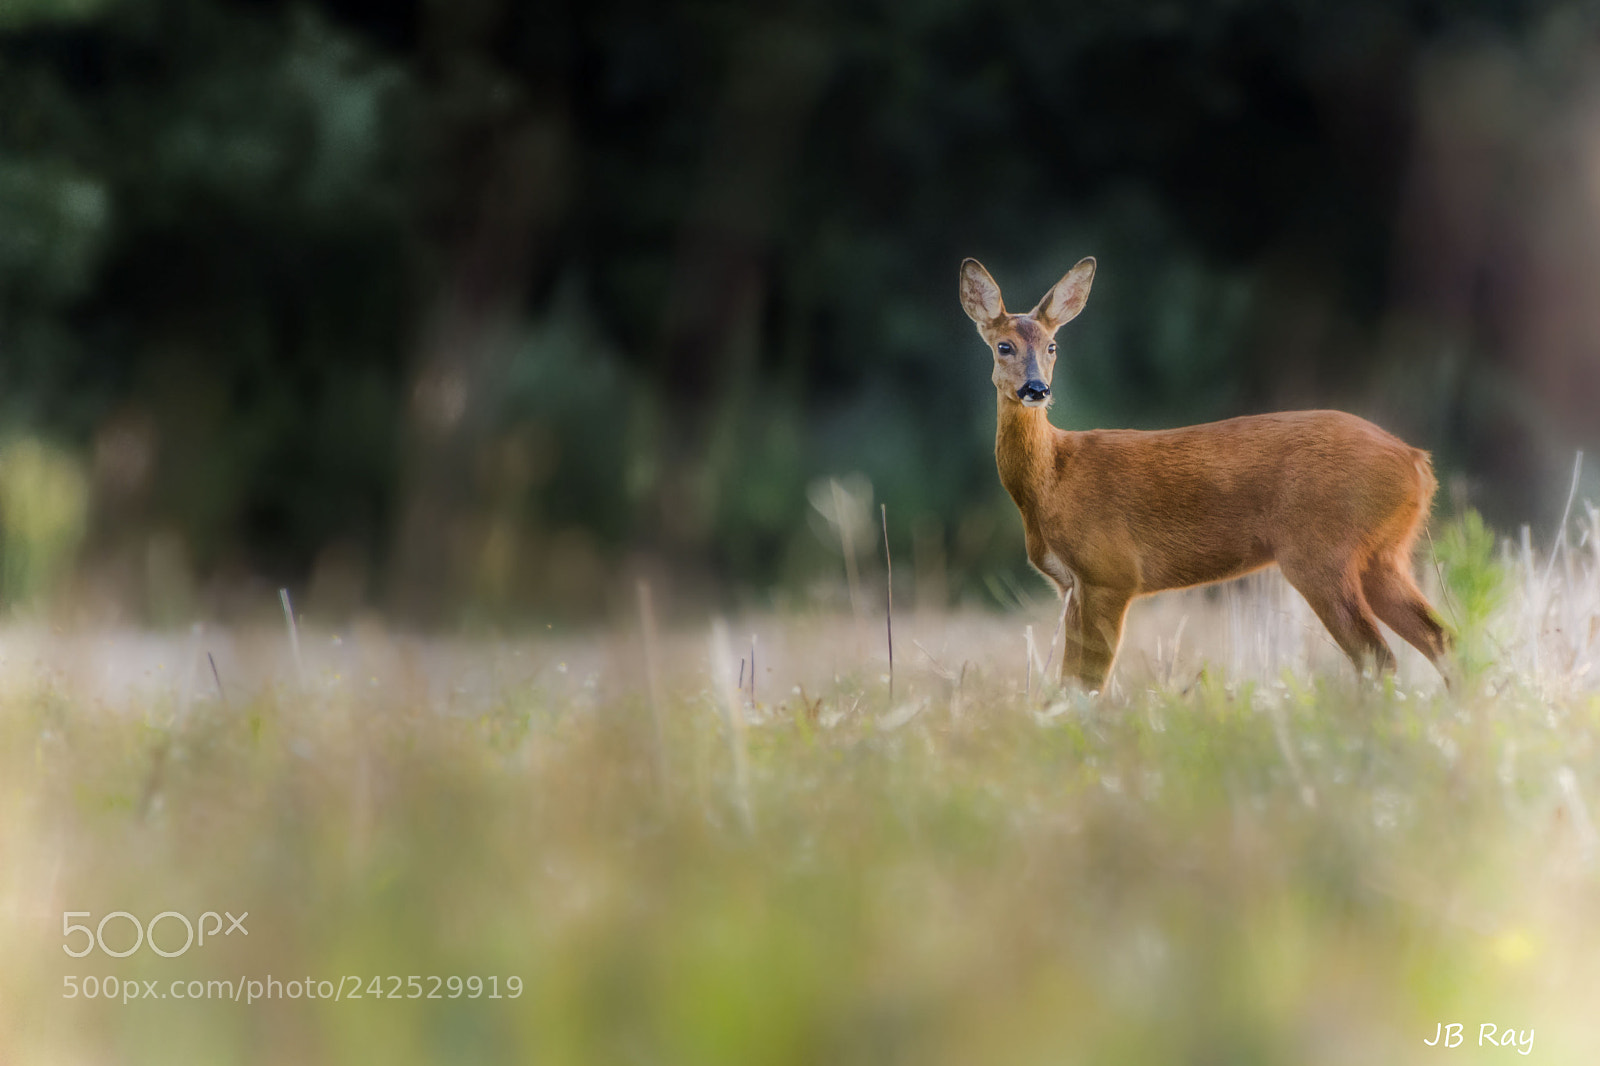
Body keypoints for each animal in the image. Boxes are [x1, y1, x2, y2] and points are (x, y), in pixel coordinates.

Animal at [959, 256, 1452, 690]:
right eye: (1004, 346)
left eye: (1052, 346)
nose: (1036, 389)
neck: (1053, 478)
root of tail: (1418, 462)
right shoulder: (1072, 587)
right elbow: (1070, 684)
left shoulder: (1111, 572)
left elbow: (1089, 683)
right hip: (1384, 554)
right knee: (1441, 637)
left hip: (1321, 552)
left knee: (1378, 656)